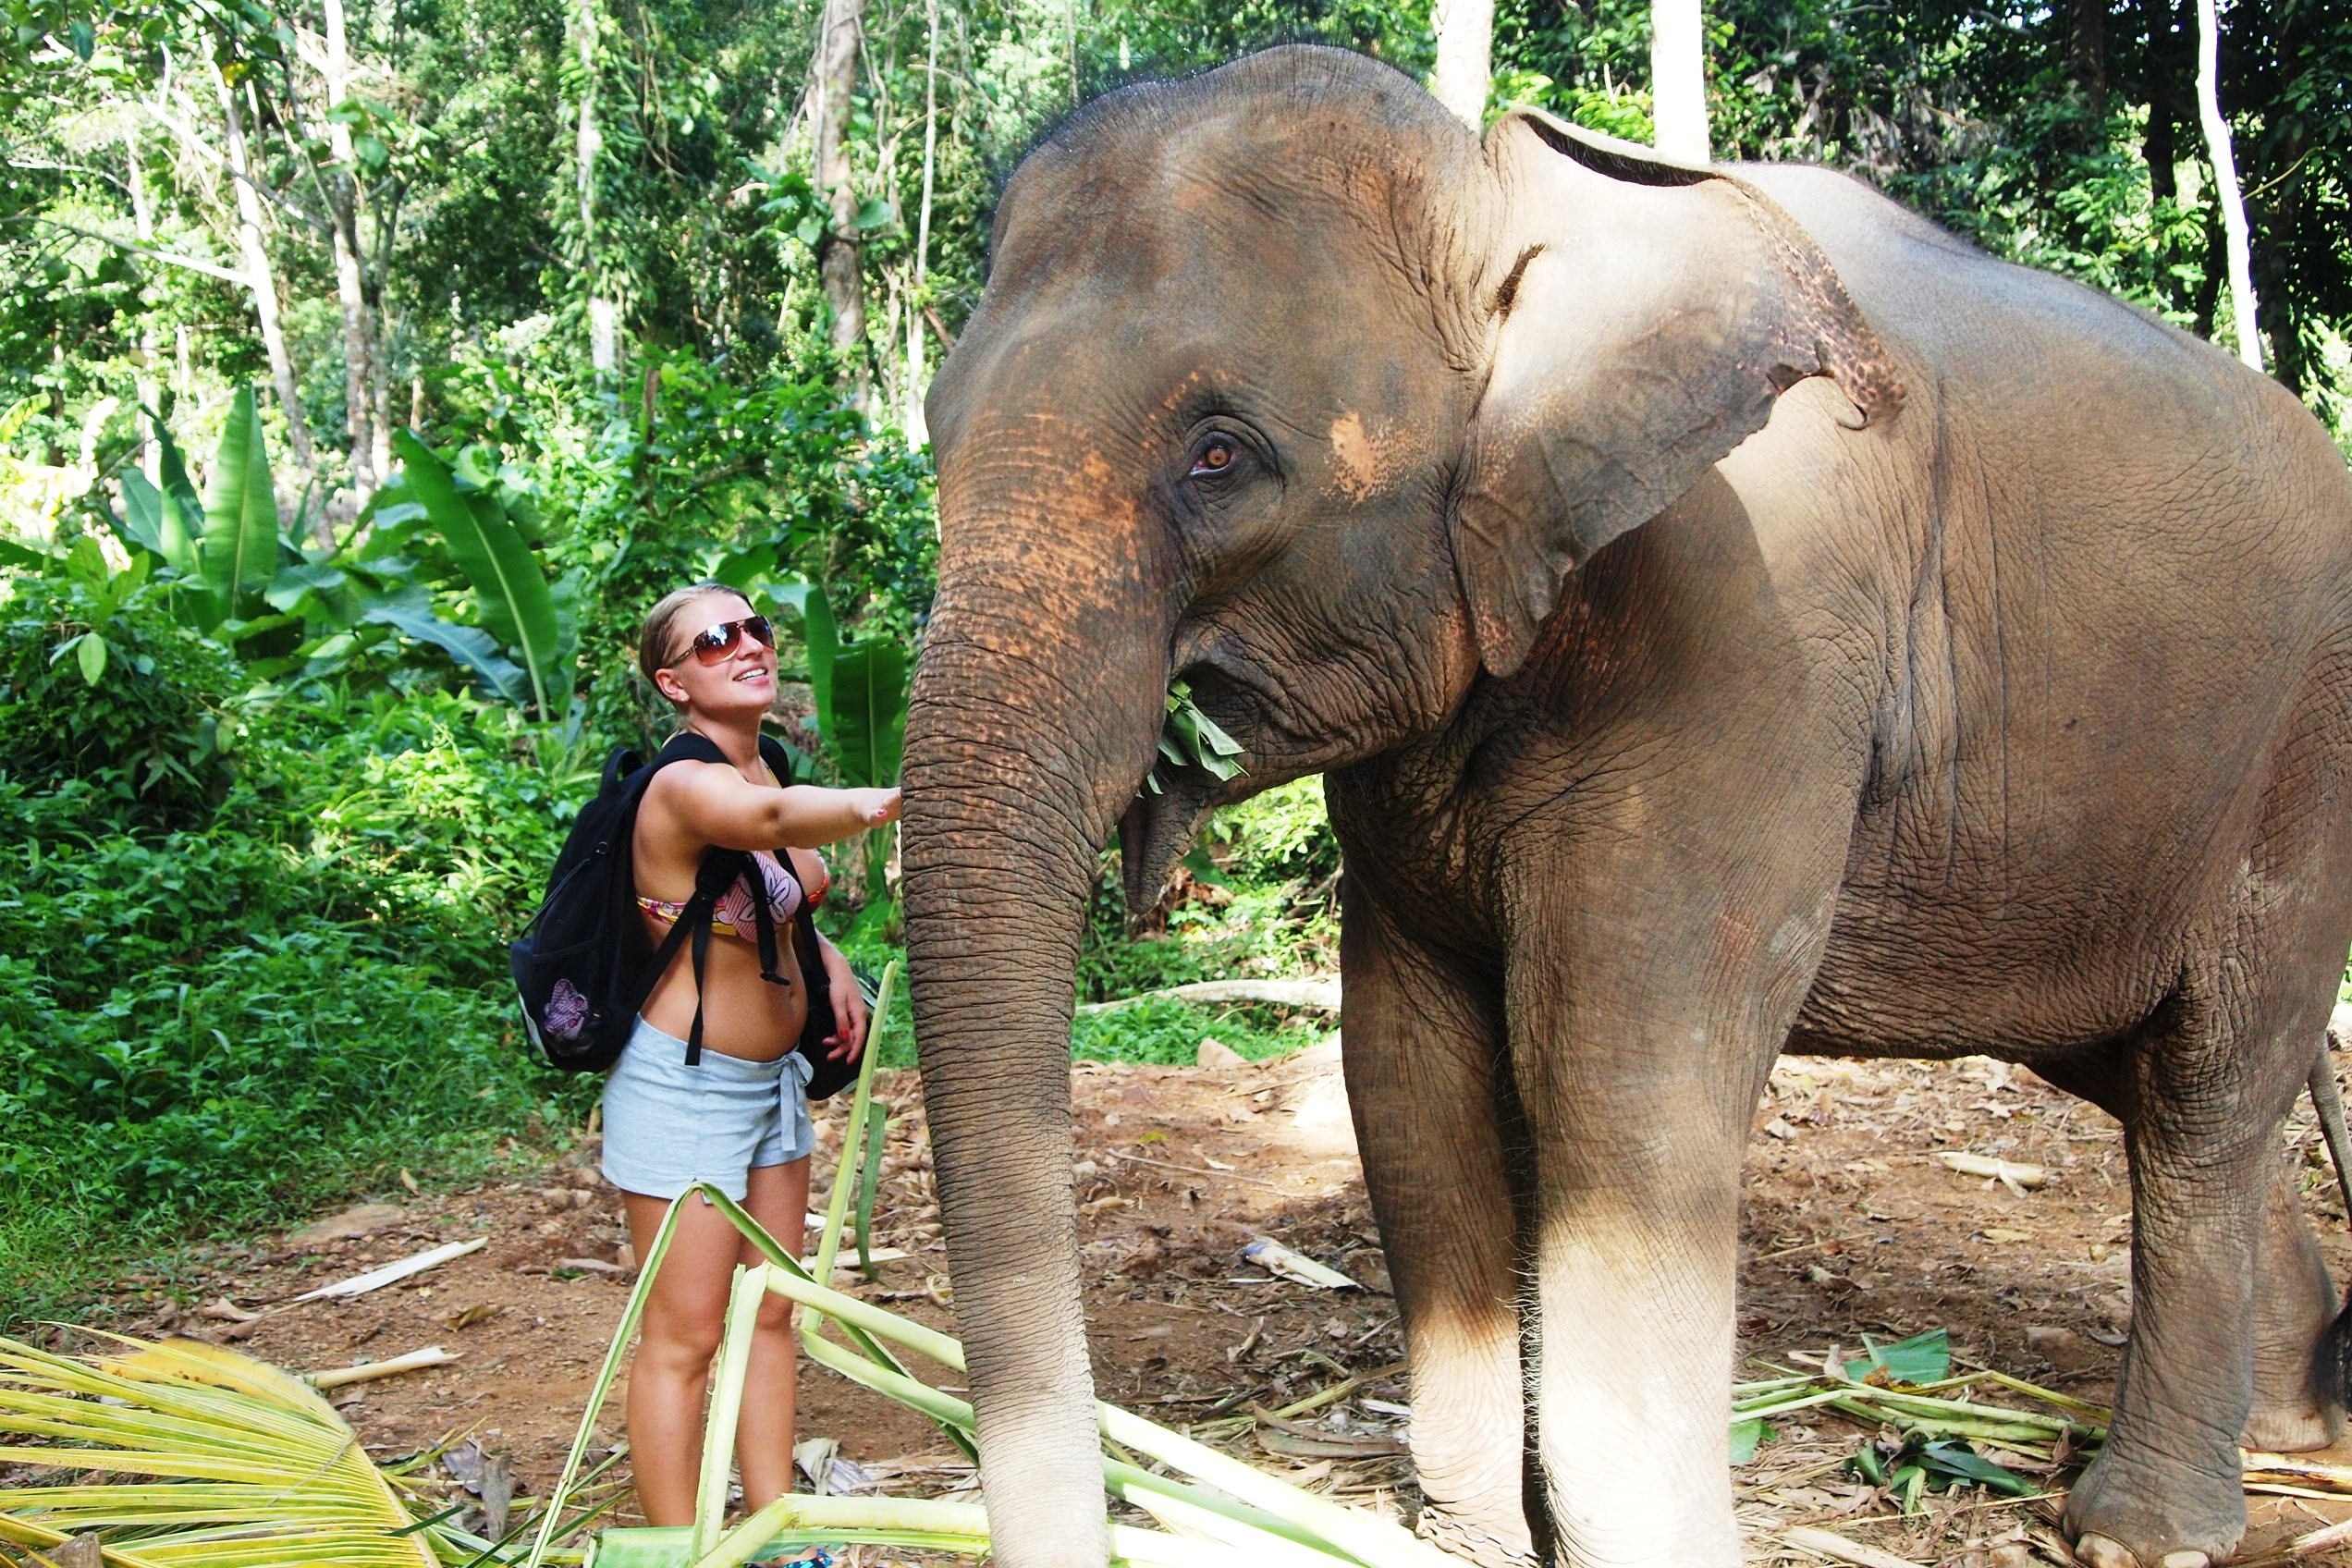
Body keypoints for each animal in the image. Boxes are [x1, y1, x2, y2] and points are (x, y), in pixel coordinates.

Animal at [898, 43, 2352, 1568]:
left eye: (1221, 457)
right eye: (936, 432)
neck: (1503, 199)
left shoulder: (1750, 641)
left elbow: (1618, 1088)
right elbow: (1409, 1074)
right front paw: (1477, 1538)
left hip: (2302, 765)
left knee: (2208, 1089)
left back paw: (2153, 1527)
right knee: (2145, 1073)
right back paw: (2296, 1422)